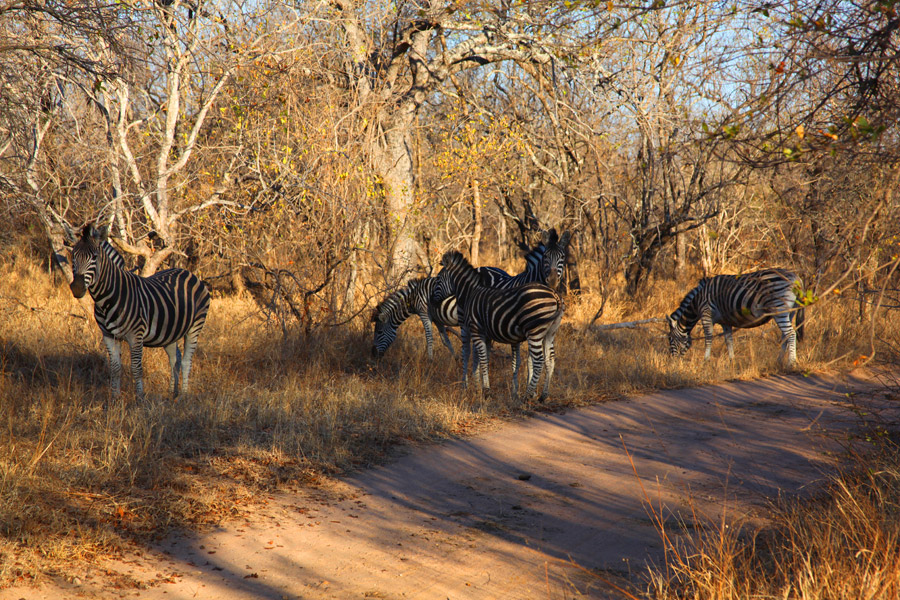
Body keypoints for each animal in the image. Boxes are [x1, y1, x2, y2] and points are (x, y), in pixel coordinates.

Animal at [69, 224, 211, 398]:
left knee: (186, 361)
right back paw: (172, 394)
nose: (76, 288)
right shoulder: (108, 335)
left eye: (95, 257)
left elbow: (136, 369)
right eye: (73, 256)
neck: (108, 298)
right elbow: (115, 368)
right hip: (169, 332)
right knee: (175, 358)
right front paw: (115, 399)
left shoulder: (135, 336)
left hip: (195, 326)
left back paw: (183, 396)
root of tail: (187, 272)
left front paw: (140, 399)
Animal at [434, 251, 564, 400]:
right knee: (550, 360)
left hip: (534, 331)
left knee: (538, 362)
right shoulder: (485, 335)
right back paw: (543, 396)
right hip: (550, 332)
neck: (470, 292)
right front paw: (479, 388)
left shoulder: (476, 331)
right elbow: (483, 359)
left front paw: (486, 391)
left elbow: (482, 360)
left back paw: (528, 395)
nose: (432, 300)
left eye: (438, 279)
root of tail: (554, 294)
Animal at [668, 268, 808, 366]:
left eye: (670, 340)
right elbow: (728, 340)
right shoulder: (725, 321)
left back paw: (791, 363)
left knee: (790, 333)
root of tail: (796, 278)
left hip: (779, 309)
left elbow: (708, 338)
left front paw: (705, 360)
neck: (697, 302)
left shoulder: (706, 314)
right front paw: (732, 361)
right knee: (785, 335)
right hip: (790, 311)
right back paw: (779, 361)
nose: (672, 362)